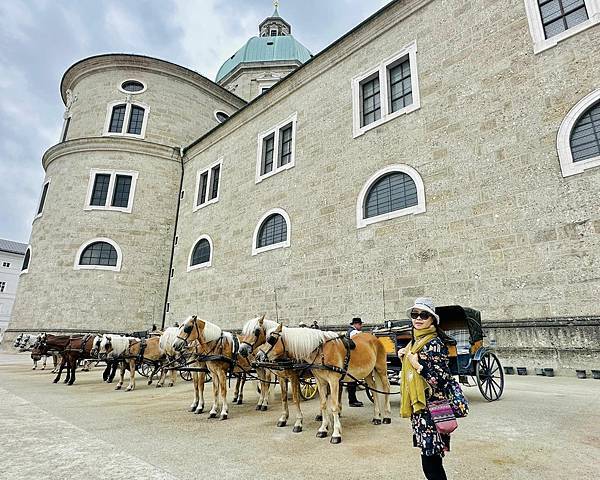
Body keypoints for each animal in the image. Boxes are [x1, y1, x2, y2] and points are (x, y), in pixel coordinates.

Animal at [255, 324, 392, 444]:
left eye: (271, 340)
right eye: (264, 338)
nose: (258, 356)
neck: (321, 352)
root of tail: (373, 337)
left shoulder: (332, 381)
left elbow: (333, 406)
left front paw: (336, 433)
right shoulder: (320, 382)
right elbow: (323, 404)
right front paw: (323, 428)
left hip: (381, 369)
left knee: (386, 388)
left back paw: (386, 416)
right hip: (368, 372)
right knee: (373, 389)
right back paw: (376, 417)